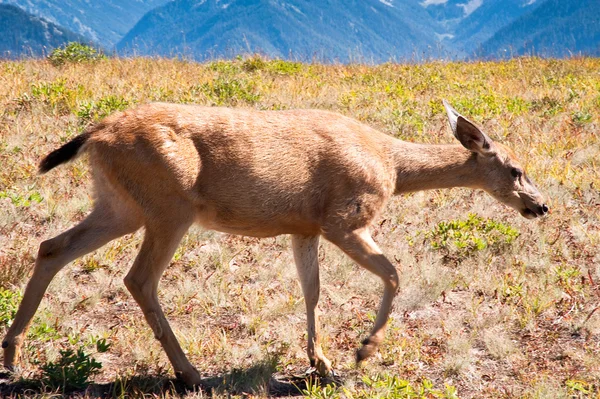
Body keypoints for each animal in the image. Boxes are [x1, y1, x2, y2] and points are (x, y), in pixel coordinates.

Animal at [2, 101, 548, 388]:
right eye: (515, 169)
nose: (540, 206)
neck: (392, 165)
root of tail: (94, 133)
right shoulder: (344, 218)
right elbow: (394, 273)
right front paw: (362, 351)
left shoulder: (303, 228)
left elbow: (313, 291)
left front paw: (320, 362)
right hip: (167, 206)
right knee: (139, 278)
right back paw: (191, 373)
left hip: (119, 205)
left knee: (51, 247)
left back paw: (11, 358)